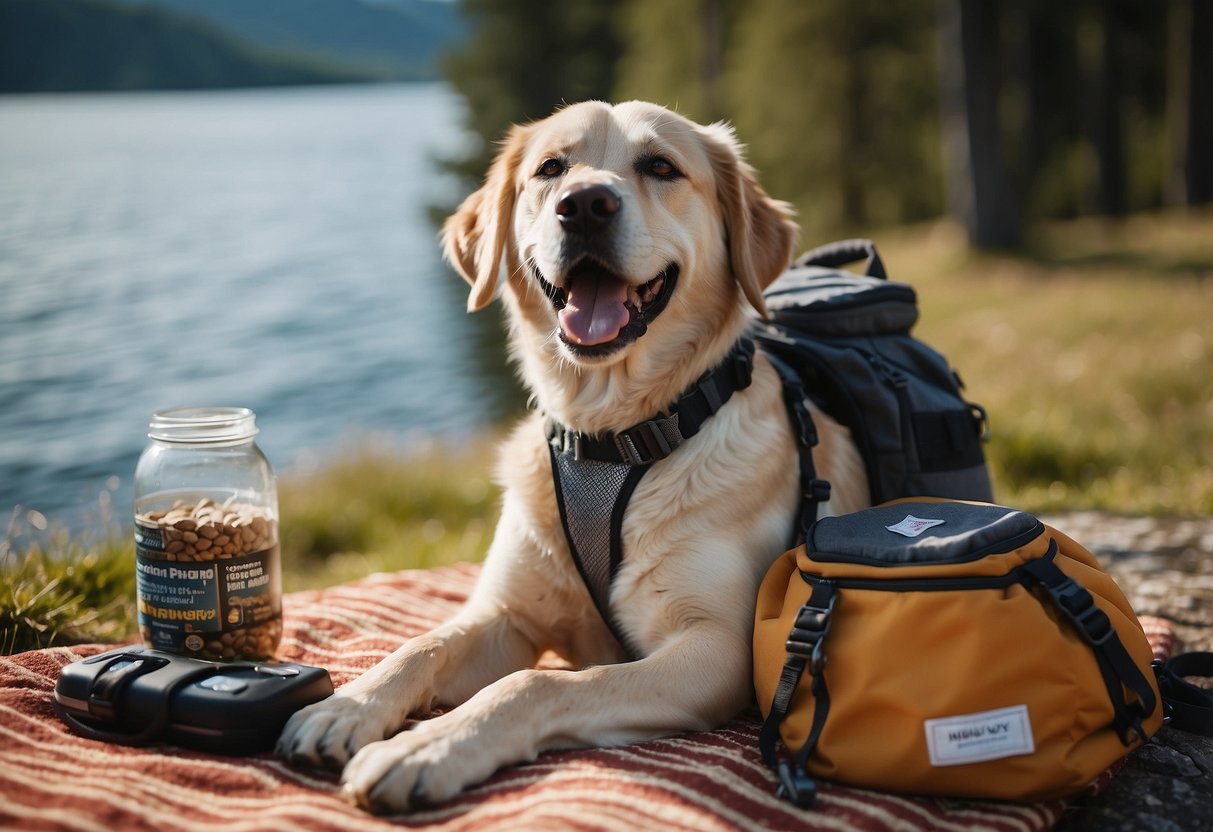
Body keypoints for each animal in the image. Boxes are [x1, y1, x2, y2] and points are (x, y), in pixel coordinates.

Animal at [281, 99, 873, 815]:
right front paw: (347, 706)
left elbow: (537, 684)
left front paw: (428, 747)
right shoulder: (506, 616)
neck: (610, 438)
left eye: (661, 167)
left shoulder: (716, 648)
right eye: (550, 169)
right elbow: (423, 643)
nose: (585, 205)